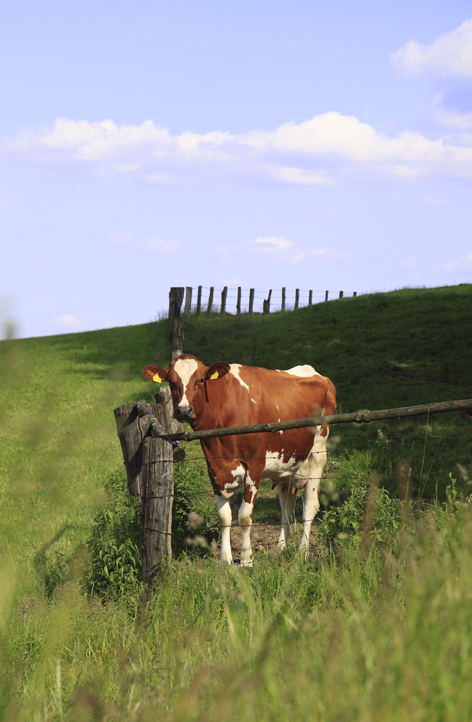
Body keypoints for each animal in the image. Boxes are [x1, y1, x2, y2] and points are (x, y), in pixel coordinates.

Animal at [141, 352, 336, 564]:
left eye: (200, 380)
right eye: (171, 381)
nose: (184, 410)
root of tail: (317, 374)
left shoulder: (254, 466)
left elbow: (244, 516)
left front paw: (246, 559)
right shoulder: (213, 468)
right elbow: (224, 517)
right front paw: (224, 559)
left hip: (317, 455)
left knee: (310, 505)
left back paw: (302, 552)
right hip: (287, 464)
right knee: (287, 506)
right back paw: (280, 548)